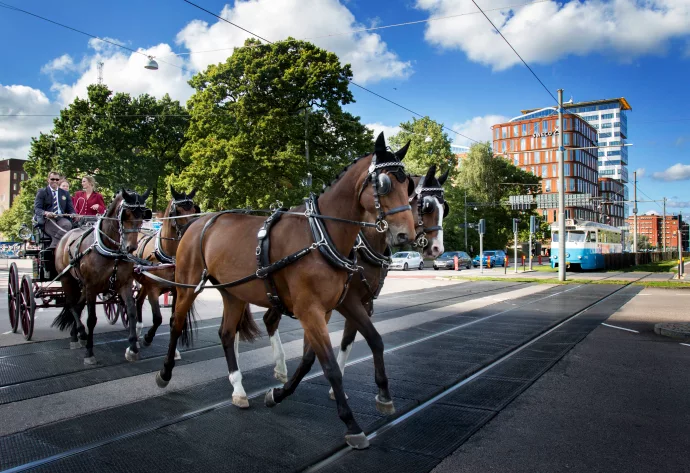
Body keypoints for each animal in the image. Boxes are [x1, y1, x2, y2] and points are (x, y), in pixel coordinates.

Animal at [53, 189, 150, 366]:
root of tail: (65, 236)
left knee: (78, 305)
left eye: (143, 215)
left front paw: (133, 349)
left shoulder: (125, 283)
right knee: (71, 304)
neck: (111, 250)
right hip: (67, 279)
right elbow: (91, 319)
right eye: (125, 214)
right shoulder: (92, 286)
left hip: (82, 285)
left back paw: (76, 335)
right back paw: (81, 334)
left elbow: (131, 311)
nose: (131, 247)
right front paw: (89, 353)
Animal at [134, 186, 199, 356]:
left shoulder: (176, 290)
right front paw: (148, 338)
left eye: (194, 209)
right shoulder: (153, 288)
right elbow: (158, 318)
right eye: (178, 211)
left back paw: (137, 330)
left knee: (138, 300)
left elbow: (172, 320)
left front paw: (174, 350)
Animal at [156, 132, 414, 446]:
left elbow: (360, 344)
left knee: (226, 334)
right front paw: (351, 424)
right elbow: (329, 365)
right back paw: (165, 372)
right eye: (385, 184)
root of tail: (199, 222)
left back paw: (238, 389)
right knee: (176, 322)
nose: (406, 234)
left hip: (233, 293)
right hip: (188, 285)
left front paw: (277, 394)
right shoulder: (309, 310)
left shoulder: (337, 305)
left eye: (408, 184)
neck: (321, 235)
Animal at [260, 162, 448, 402]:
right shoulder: (346, 301)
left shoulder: (361, 303)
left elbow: (347, 340)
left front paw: (335, 386)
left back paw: (280, 369)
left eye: (445, 208)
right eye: (428, 206)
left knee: (268, 319)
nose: (437, 249)